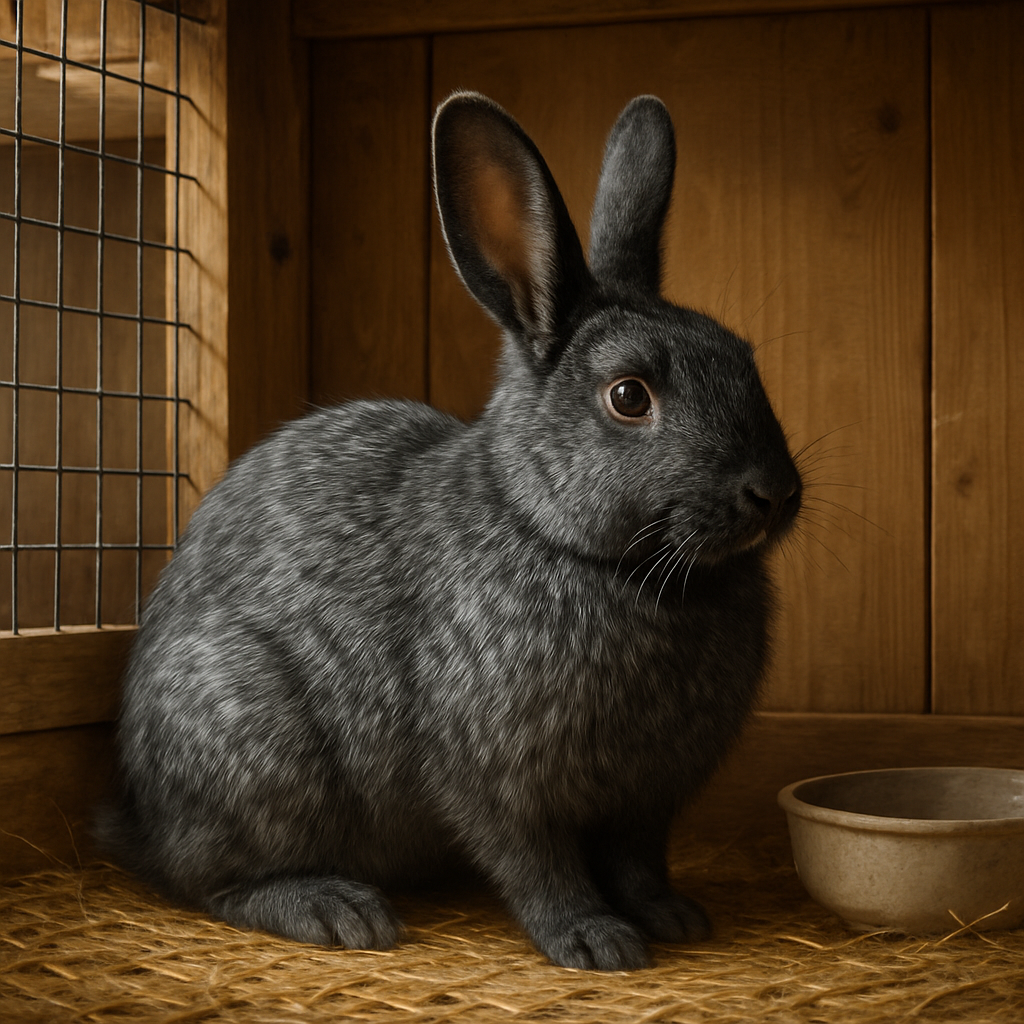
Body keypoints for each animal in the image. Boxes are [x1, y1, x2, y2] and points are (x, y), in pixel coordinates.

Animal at [97, 91, 802, 972]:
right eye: (629, 396)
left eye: (744, 357)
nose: (775, 492)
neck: (564, 538)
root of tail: (137, 811)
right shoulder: (495, 776)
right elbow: (537, 863)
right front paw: (594, 939)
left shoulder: (647, 799)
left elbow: (639, 861)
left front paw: (671, 917)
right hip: (249, 742)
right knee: (206, 880)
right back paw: (335, 910)